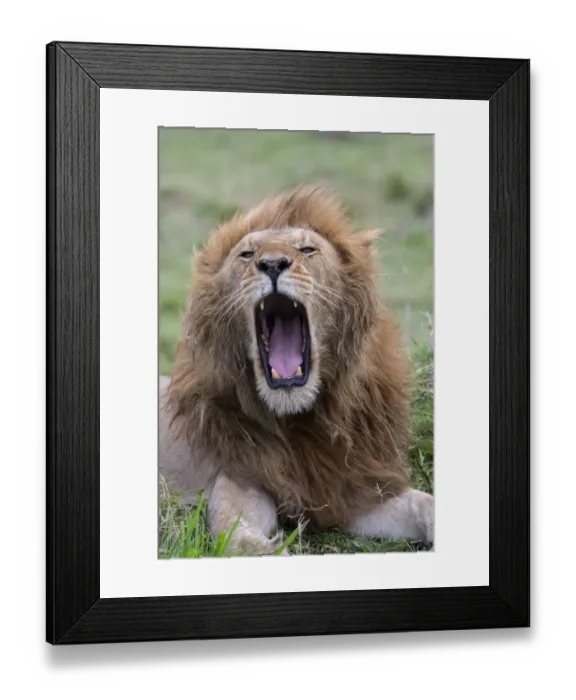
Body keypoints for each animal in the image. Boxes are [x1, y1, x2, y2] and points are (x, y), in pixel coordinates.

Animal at [160, 185, 434, 555]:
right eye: (247, 254)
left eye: (307, 250)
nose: (272, 263)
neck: (300, 420)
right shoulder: (238, 479)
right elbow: (239, 540)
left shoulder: (352, 488)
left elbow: (425, 503)